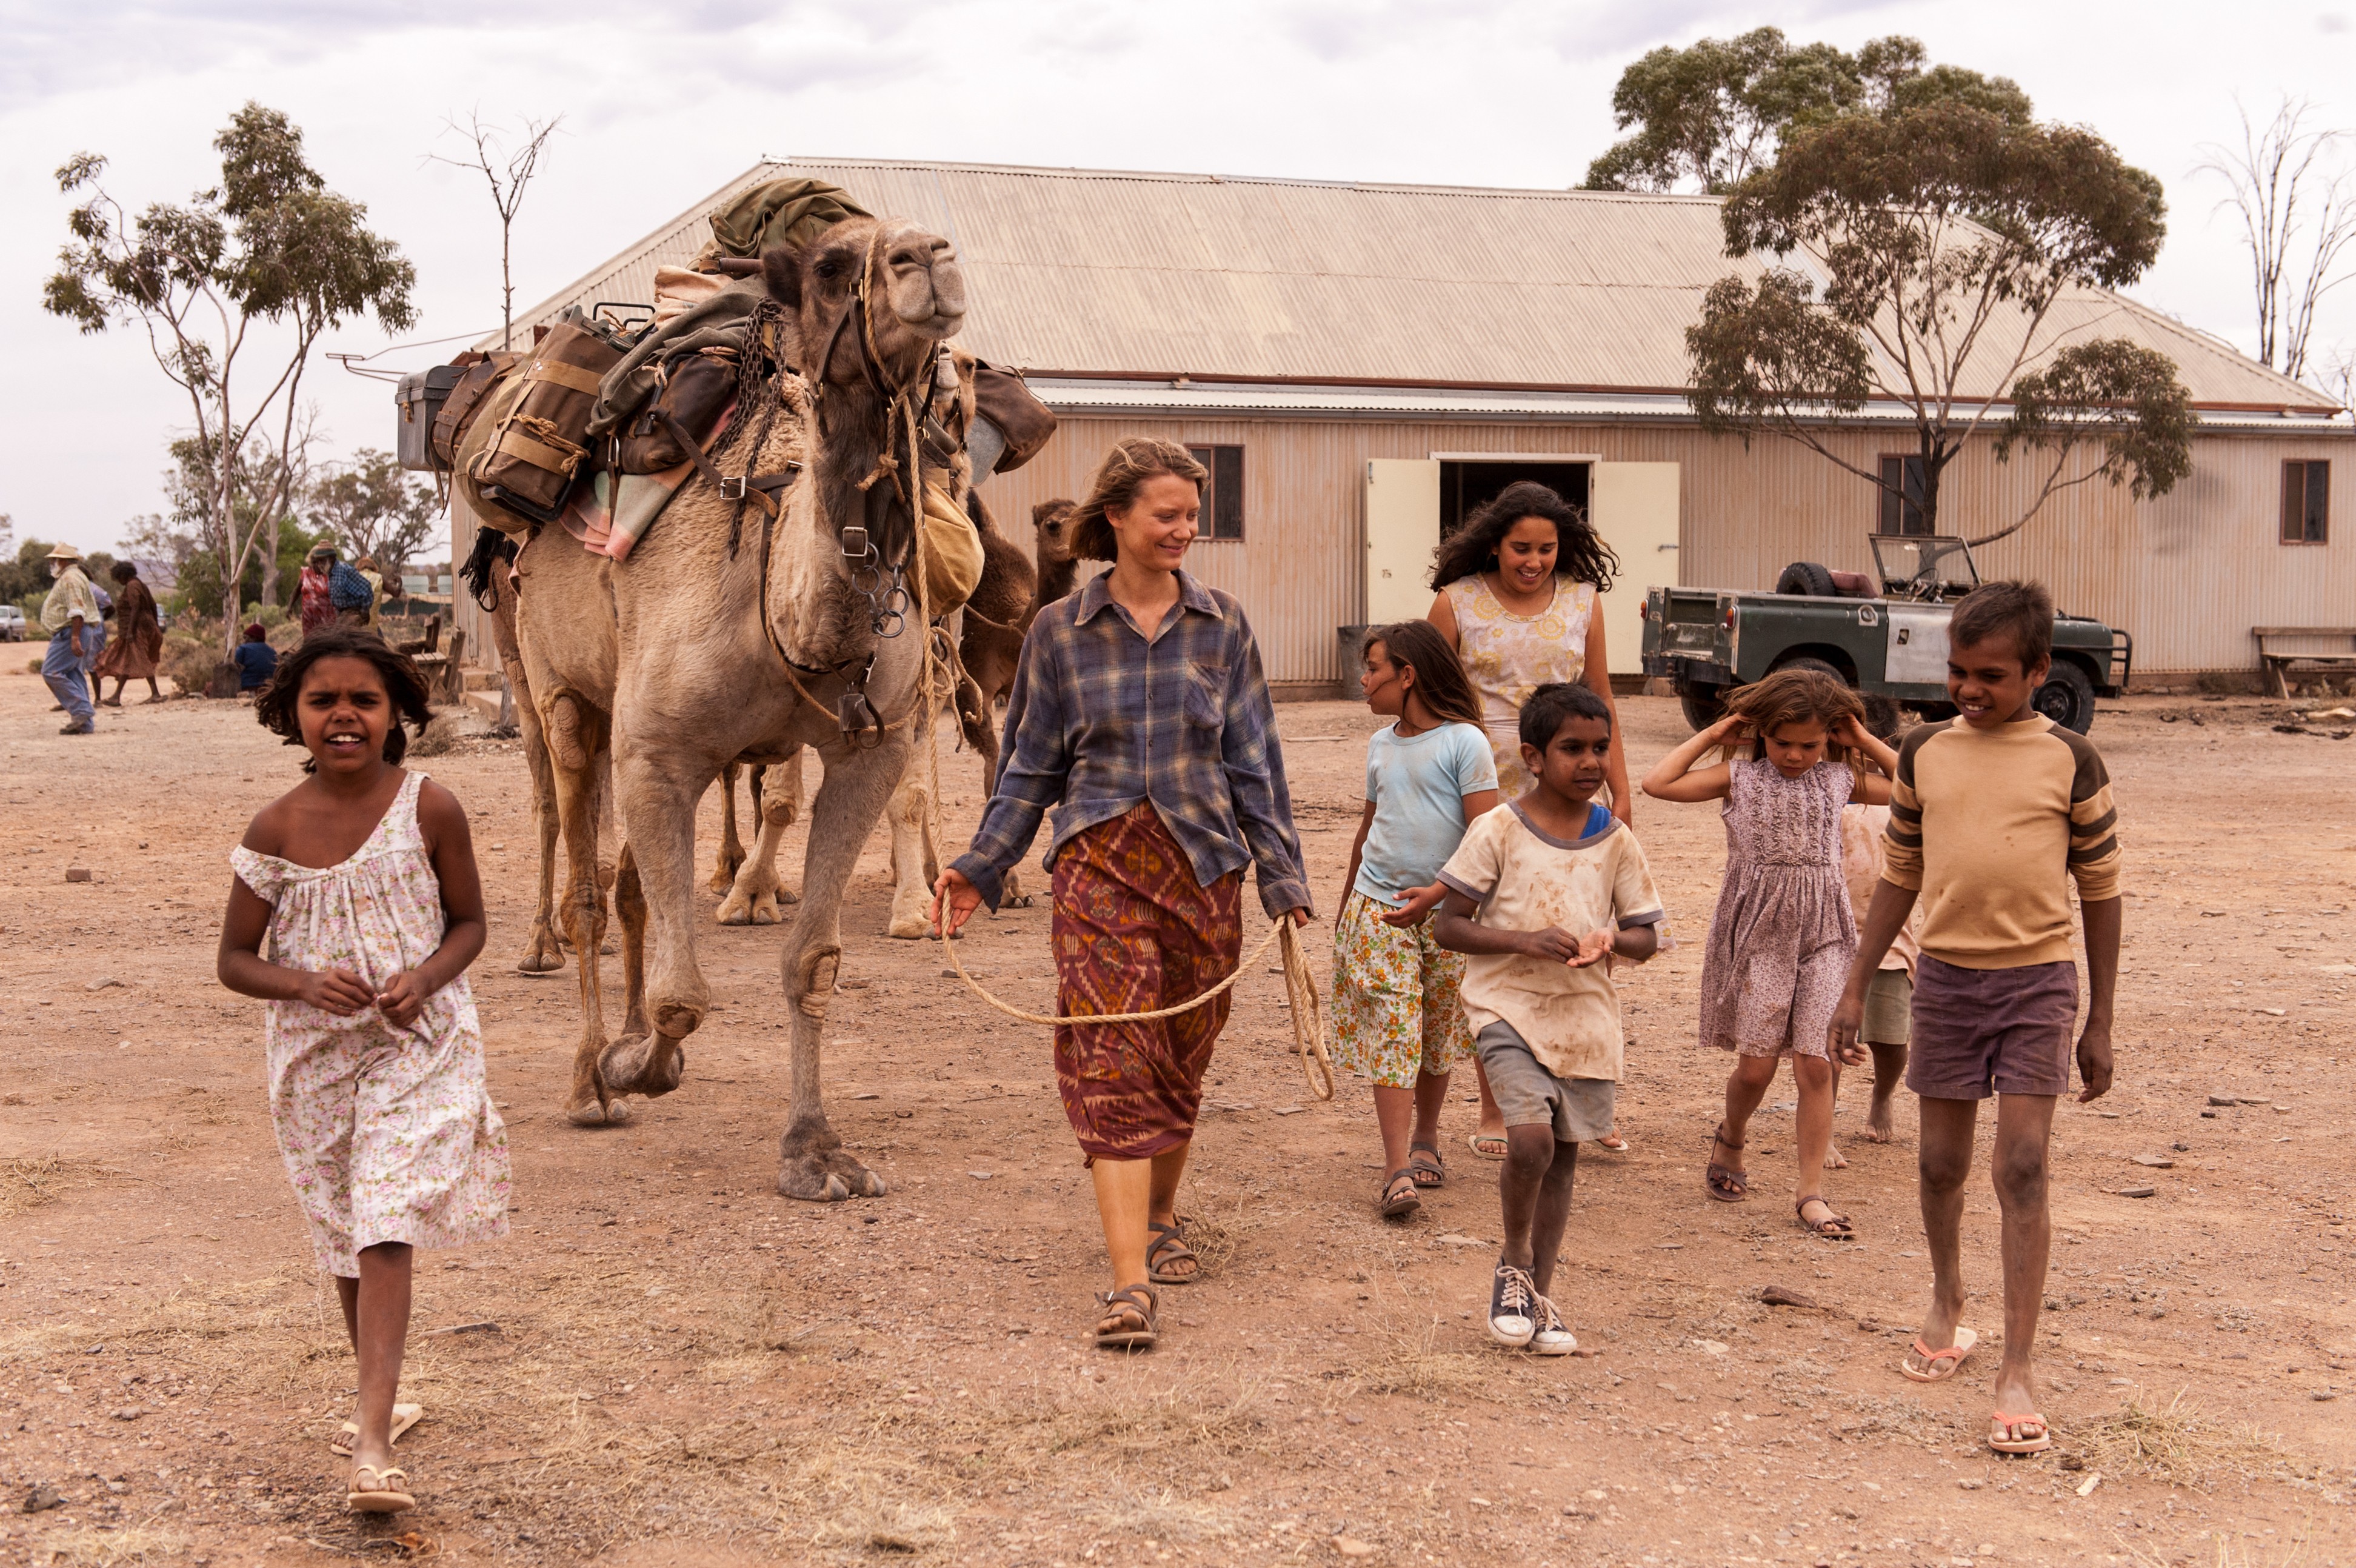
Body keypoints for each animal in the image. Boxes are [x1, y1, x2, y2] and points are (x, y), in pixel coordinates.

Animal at [514, 214, 969, 1203]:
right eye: (834, 264)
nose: (929, 256)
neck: (786, 607)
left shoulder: (868, 750)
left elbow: (811, 961)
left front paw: (815, 1150)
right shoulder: (656, 753)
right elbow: (684, 993)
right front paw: (631, 1066)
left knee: (627, 889)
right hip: (555, 685)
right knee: (581, 882)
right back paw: (587, 1075)